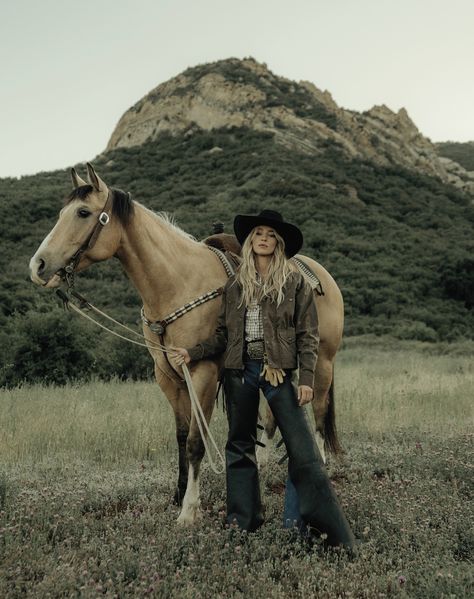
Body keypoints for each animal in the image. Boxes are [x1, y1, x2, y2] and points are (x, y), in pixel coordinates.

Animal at [29, 163, 344, 524]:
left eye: (83, 212)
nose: (38, 266)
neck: (177, 283)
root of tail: (322, 274)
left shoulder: (202, 374)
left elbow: (195, 441)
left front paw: (190, 510)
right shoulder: (168, 376)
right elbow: (181, 437)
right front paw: (178, 494)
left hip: (322, 362)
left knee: (318, 410)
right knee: (272, 416)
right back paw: (264, 467)